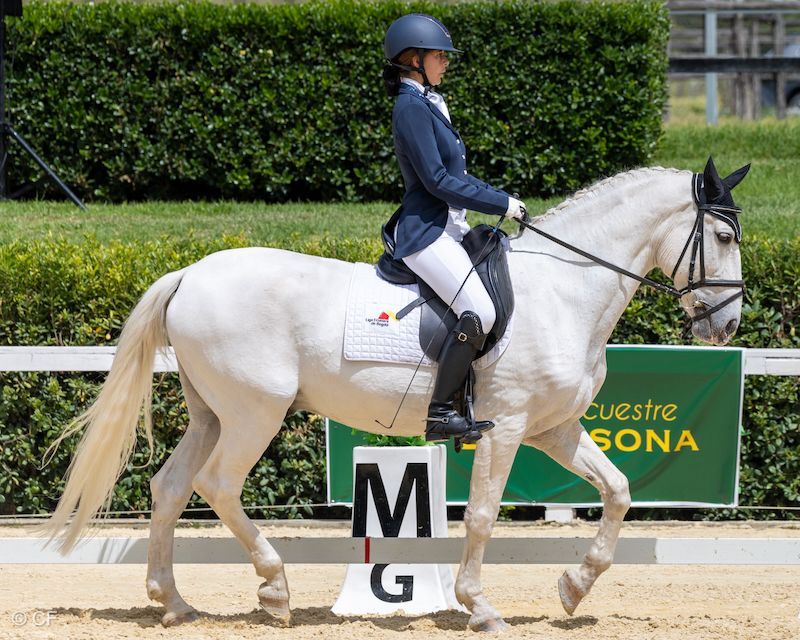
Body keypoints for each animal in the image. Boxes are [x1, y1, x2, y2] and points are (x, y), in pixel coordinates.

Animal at [42, 157, 750, 632]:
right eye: (723, 238)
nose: (728, 325)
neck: (564, 291)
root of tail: (191, 272)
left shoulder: (554, 427)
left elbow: (619, 490)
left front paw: (574, 587)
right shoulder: (508, 426)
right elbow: (484, 516)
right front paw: (479, 607)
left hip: (212, 413)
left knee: (169, 487)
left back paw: (174, 602)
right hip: (253, 413)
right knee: (216, 485)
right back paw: (274, 589)